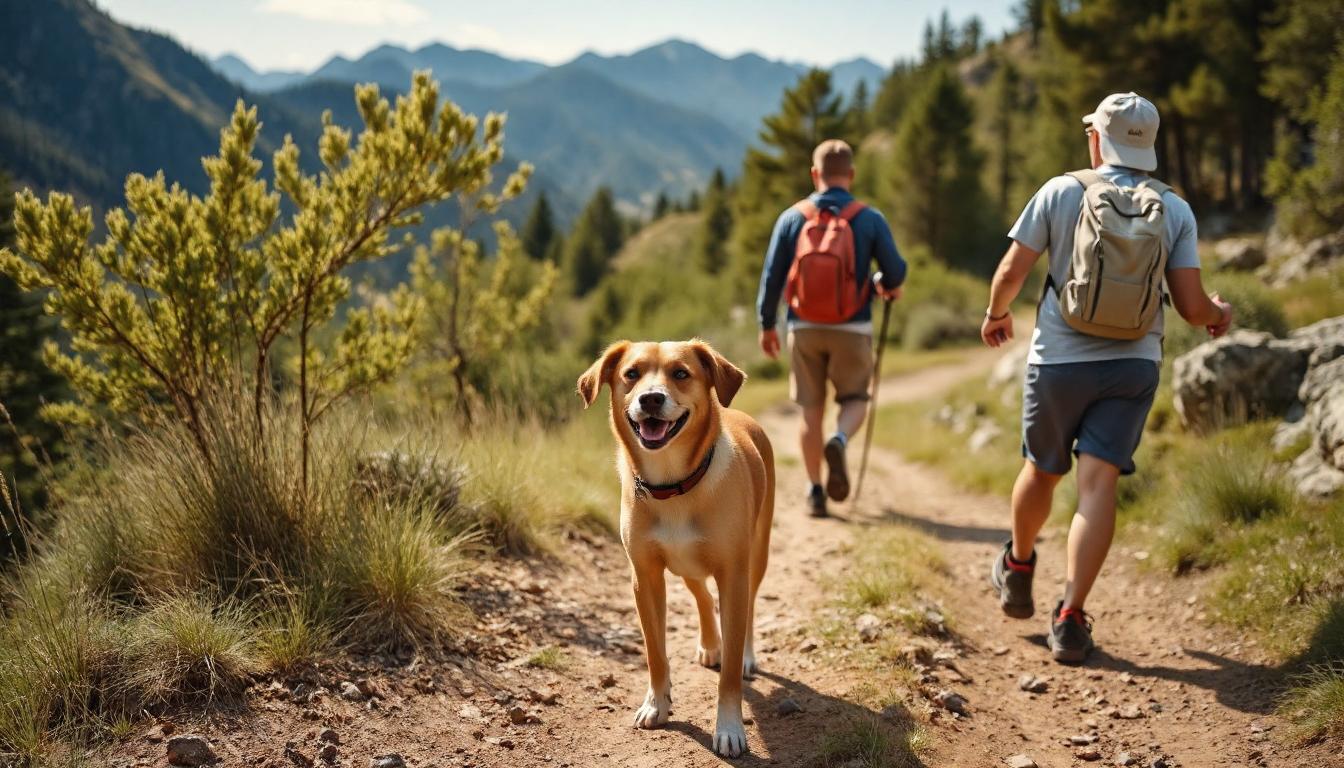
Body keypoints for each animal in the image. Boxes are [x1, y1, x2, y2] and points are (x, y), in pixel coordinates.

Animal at [577, 337, 779, 758]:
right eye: (631, 373)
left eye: (681, 373)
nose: (651, 398)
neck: (672, 484)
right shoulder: (646, 578)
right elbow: (655, 653)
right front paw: (657, 704)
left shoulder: (733, 573)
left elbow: (730, 674)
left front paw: (730, 727)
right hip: (687, 565)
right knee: (702, 594)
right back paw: (710, 644)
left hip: (757, 554)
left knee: (749, 607)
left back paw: (745, 653)